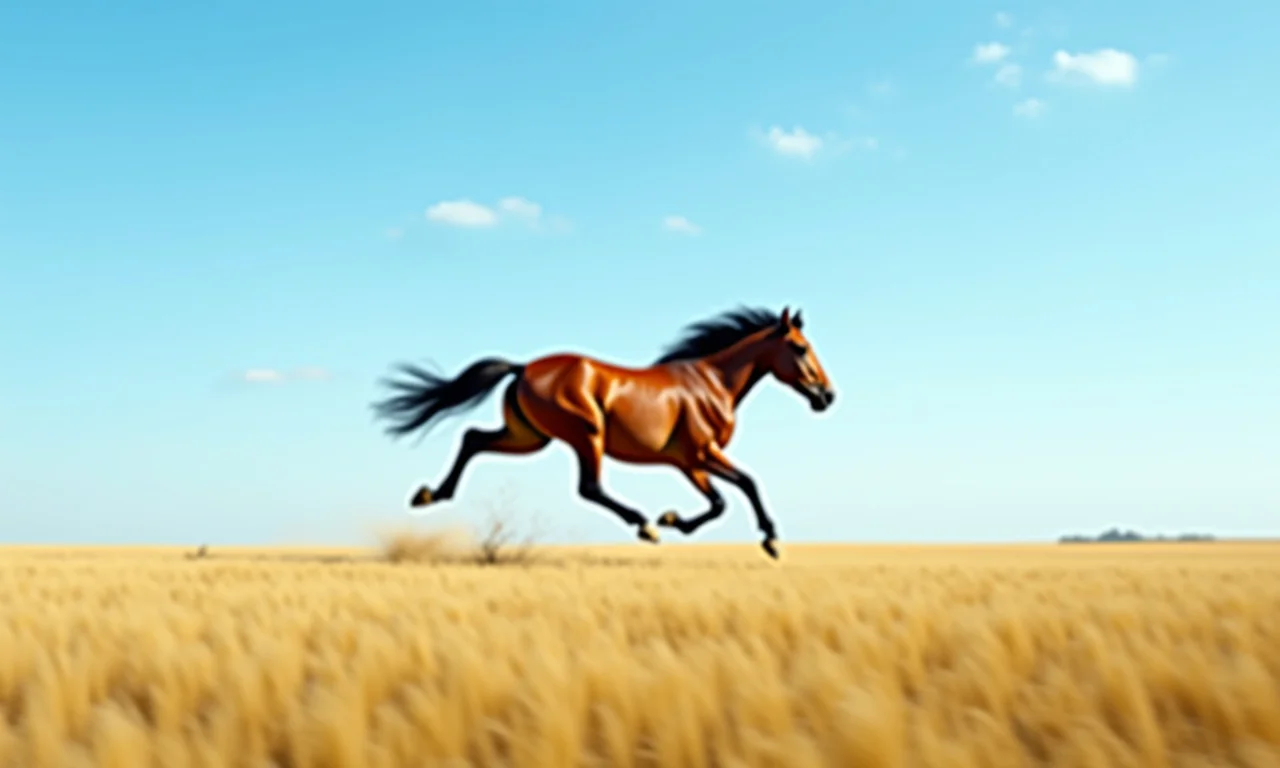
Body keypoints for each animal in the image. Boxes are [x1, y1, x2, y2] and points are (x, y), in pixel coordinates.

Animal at [371, 305, 835, 559]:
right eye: (800, 348)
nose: (827, 395)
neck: (712, 383)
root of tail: (523, 368)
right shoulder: (701, 454)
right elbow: (745, 486)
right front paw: (770, 540)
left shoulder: (687, 463)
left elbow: (721, 499)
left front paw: (674, 520)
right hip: (585, 434)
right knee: (589, 487)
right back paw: (643, 525)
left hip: (529, 438)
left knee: (472, 438)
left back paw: (430, 494)